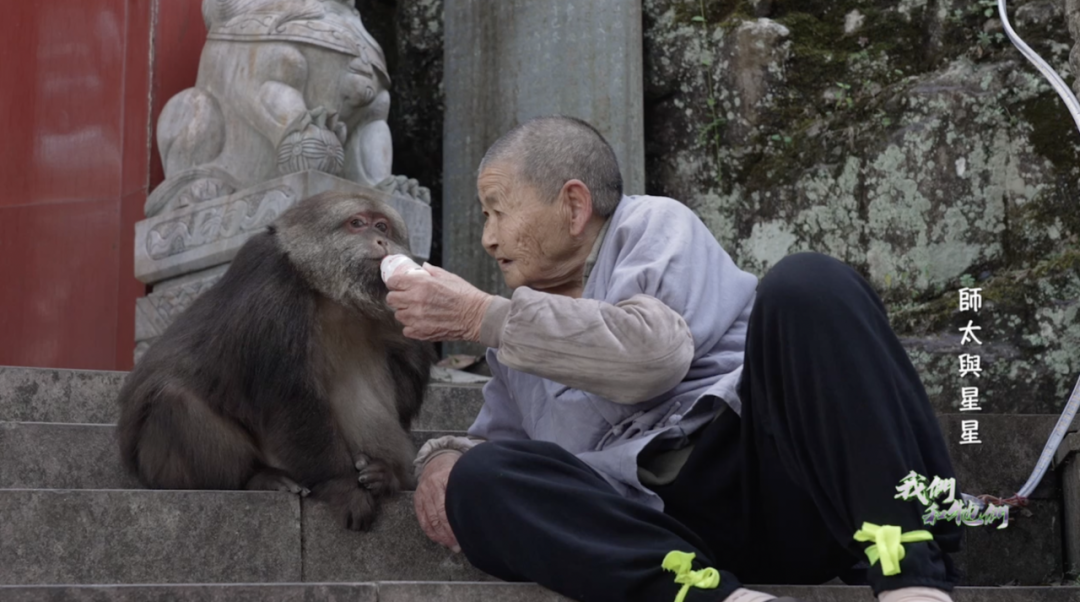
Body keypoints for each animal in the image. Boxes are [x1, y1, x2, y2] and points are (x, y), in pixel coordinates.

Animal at [118, 190, 434, 527]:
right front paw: (343, 485)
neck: (329, 293)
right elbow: (290, 394)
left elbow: (403, 386)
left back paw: (386, 476)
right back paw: (256, 478)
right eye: (358, 224)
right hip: (159, 464)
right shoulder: (274, 285)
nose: (381, 241)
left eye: (383, 226)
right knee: (173, 399)